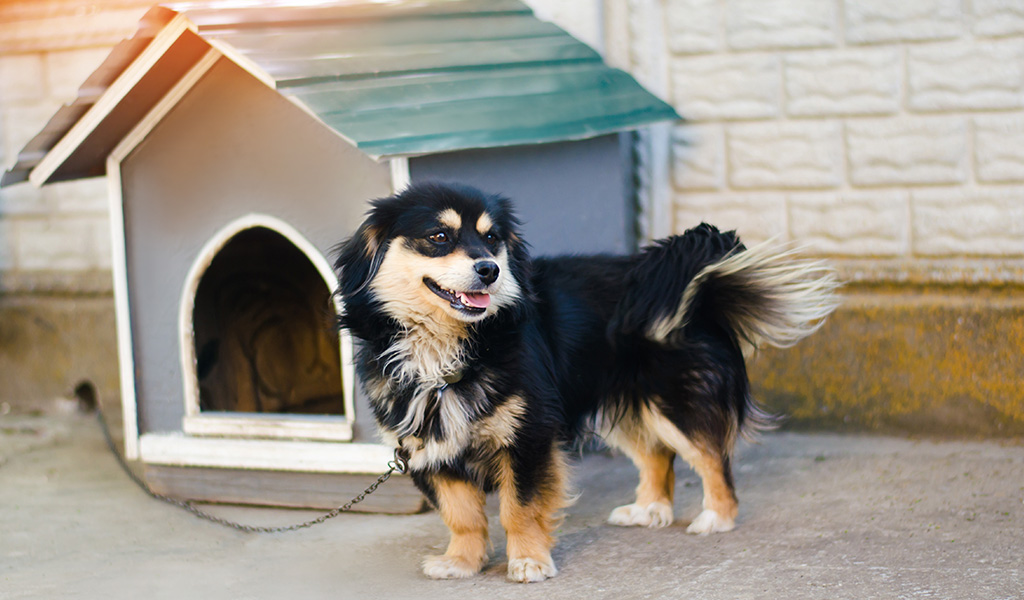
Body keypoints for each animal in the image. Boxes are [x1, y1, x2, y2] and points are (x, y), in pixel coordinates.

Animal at [335, 181, 839, 577]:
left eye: (492, 239)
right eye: (438, 236)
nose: (490, 270)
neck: (447, 348)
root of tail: (700, 289)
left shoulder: (528, 435)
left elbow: (519, 508)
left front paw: (529, 561)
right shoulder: (428, 446)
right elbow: (462, 515)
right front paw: (462, 563)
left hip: (673, 402)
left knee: (712, 459)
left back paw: (716, 517)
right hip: (627, 404)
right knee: (658, 457)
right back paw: (649, 509)